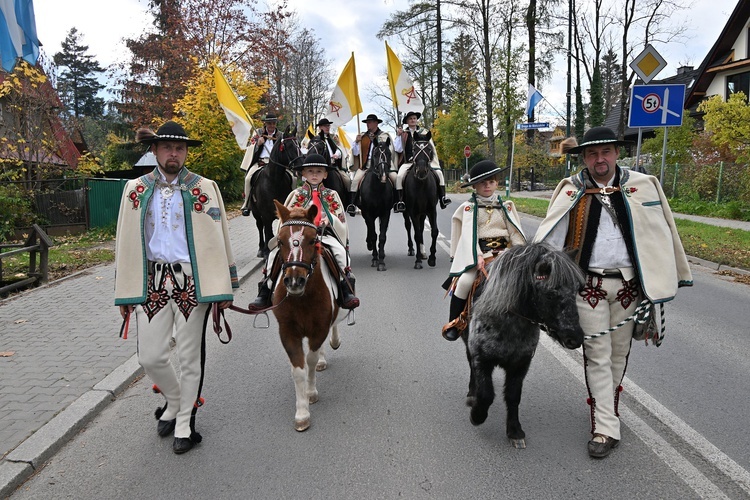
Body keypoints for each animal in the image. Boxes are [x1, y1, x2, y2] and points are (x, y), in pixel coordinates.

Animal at [250, 125, 302, 258]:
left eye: (299, 145)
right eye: (289, 146)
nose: (301, 166)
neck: (274, 181)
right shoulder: (266, 215)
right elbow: (267, 232)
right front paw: (267, 253)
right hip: (256, 212)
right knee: (260, 227)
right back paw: (261, 249)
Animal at [270, 199, 346, 430]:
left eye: (313, 241)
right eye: (280, 241)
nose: (295, 281)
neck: (301, 298)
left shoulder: (319, 328)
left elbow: (310, 361)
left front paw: (311, 393)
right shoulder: (288, 332)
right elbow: (298, 369)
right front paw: (302, 412)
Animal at [356, 139, 394, 272]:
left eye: (389, 153)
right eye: (376, 154)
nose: (383, 174)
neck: (377, 188)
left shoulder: (385, 214)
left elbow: (382, 236)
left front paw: (381, 261)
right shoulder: (368, 214)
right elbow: (373, 235)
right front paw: (375, 259)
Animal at [464, 242, 588, 450]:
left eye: (576, 291)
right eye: (551, 293)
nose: (575, 338)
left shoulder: (521, 364)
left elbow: (513, 396)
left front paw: (515, 431)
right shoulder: (482, 359)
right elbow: (486, 393)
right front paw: (476, 415)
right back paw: (471, 395)